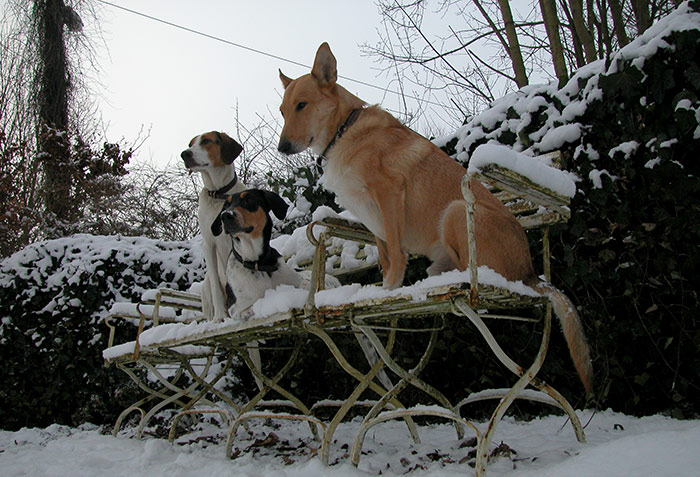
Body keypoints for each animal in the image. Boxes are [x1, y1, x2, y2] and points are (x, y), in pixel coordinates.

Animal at [182, 132, 245, 322]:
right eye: (190, 144)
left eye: (206, 141)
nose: (184, 154)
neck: (219, 194)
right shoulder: (208, 244)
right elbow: (217, 289)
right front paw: (219, 317)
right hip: (207, 284)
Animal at [276, 41, 592, 394]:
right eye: (283, 111)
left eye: (302, 105)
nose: (282, 148)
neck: (344, 131)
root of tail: (530, 275)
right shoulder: (374, 221)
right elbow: (385, 257)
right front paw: (383, 291)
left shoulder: (388, 194)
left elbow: (395, 255)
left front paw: (389, 290)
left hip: (455, 211)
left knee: (474, 269)